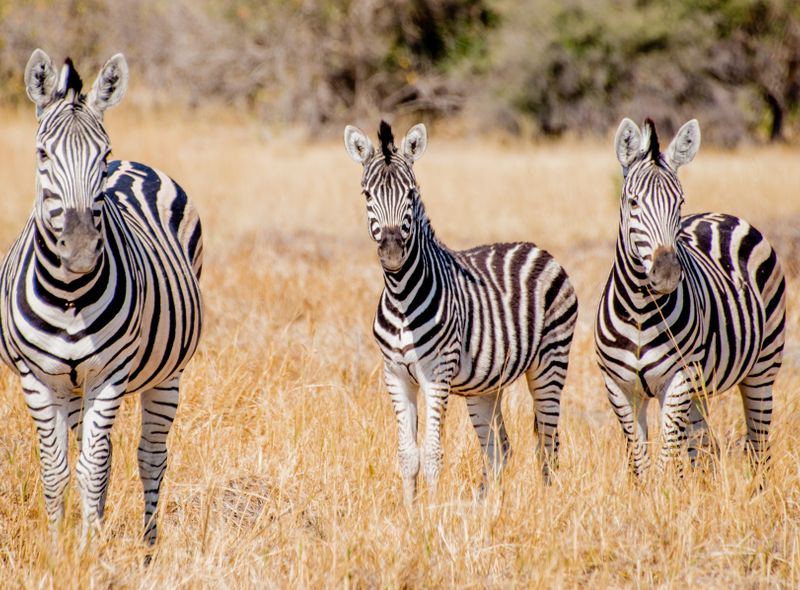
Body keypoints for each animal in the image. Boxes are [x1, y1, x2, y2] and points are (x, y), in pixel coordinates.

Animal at [1, 49, 203, 548]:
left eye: (103, 155)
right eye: (41, 153)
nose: (79, 251)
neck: (69, 294)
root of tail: (136, 165)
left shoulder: (109, 375)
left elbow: (91, 469)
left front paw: (89, 550)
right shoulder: (37, 378)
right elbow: (57, 471)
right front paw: (60, 549)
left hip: (167, 374)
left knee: (150, 455)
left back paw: (148, 548)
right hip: (73, 387)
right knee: (98, 452)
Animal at [344, 121, 578, 504]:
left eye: (411, 194)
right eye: (367, 195)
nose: (392, 253)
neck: (400, 294)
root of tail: (538, 248)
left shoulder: (436, 375)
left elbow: (432, 454)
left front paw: (431, 512)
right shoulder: (395, 376)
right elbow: (408, 455)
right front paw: (409, 511)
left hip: (550, 363)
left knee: (547, 445)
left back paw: (546, 503)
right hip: (486, 386)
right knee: (500, 450)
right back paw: (486, 505)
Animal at [594, 117, 786, 477]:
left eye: (680, 203)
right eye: (633, 203)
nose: (667, 273)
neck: (640, 310)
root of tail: (721, 216)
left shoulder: (678, 379)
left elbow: (664, 462)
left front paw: (664, 491)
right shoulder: (619, 387)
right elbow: (640, 464)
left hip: (763, 367)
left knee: (758, 447)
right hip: (700, 387)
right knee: (706, 448)